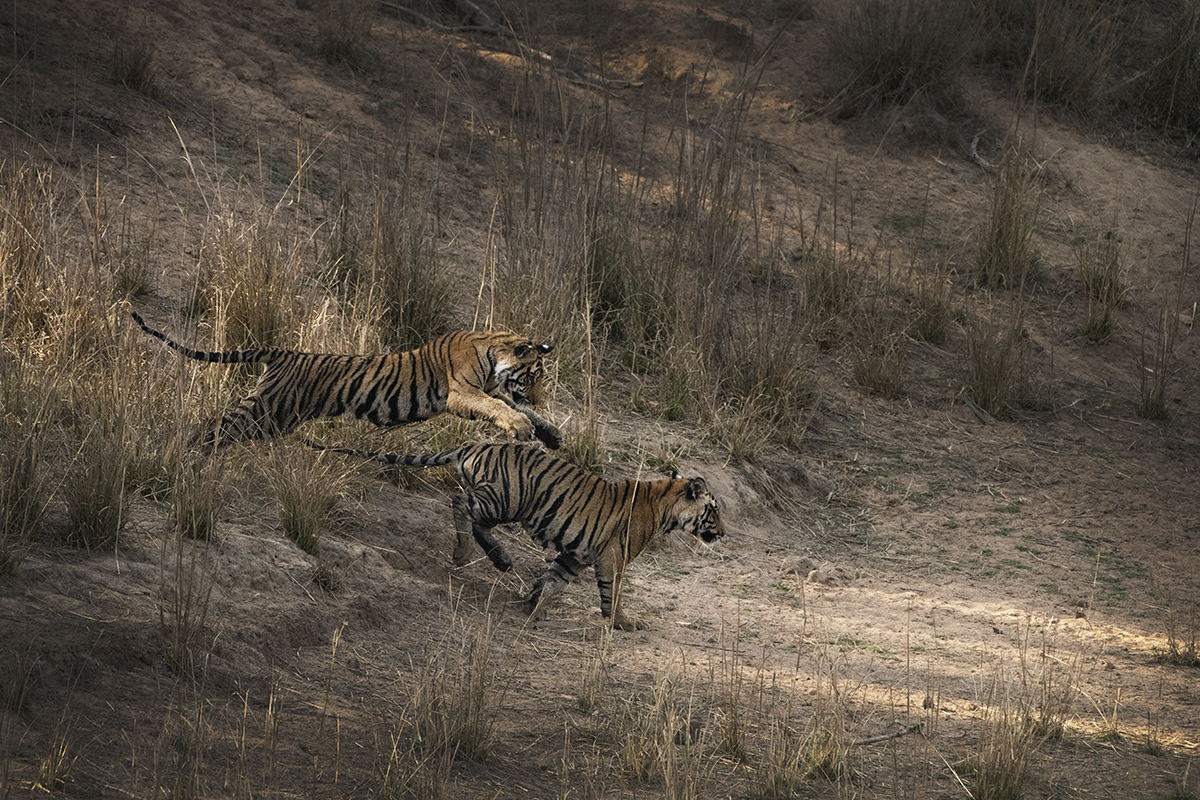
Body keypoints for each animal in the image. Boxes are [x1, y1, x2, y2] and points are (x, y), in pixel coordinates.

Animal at [131, 311, 561, 450]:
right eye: (535, 377)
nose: (541, 398)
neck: (494, 352)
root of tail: (284, 353)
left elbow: (510, 404)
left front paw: (550, 433)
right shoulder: (462, 392)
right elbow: (497, 404)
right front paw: (521, 425)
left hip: (272, 417)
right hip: (265, 411)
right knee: (213, 426)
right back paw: (180, 448)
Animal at [316, 441, 720, 628]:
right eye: (714, 511)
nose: (724, 533)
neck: (666, 508)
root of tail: (474, 444)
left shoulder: (575, 555)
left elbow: (554, 580)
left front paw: (533, 603)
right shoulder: (611, 555)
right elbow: (614, 589)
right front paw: (621, 622)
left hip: (503, 502)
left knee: (472, 517)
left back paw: (498, 559)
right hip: (505, 499)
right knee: (460, 503)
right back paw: (469, 555)